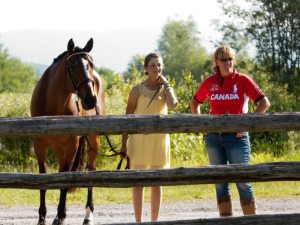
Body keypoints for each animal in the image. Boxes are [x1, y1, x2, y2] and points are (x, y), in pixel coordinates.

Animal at [29, 38, 104, 225]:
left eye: (91, 64)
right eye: (72, 66)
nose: (90, 99)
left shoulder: (72, 144)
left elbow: (64, 178)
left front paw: (61, 215)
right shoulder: (39, 144)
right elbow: (43, 177)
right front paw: (42, 217)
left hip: (93, 140)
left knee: (91, 171)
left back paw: (88, 215)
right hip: (58, 147)